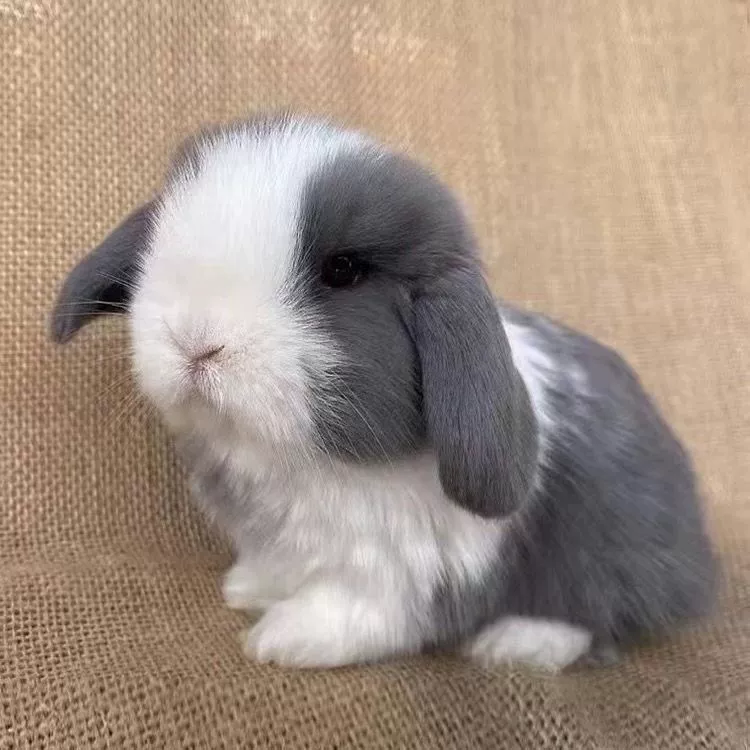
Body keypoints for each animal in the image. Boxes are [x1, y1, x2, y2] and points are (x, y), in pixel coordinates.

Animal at [51, 113, 718, 671]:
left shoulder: (403, 570)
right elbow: (278, 566)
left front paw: (282, 638)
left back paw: (518, 644)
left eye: (342, 271)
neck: (297, 463)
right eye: (161, 236)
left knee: (598, 615)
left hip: (608, 556)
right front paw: (247, 588)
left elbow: (356, 611)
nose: (196, 341)